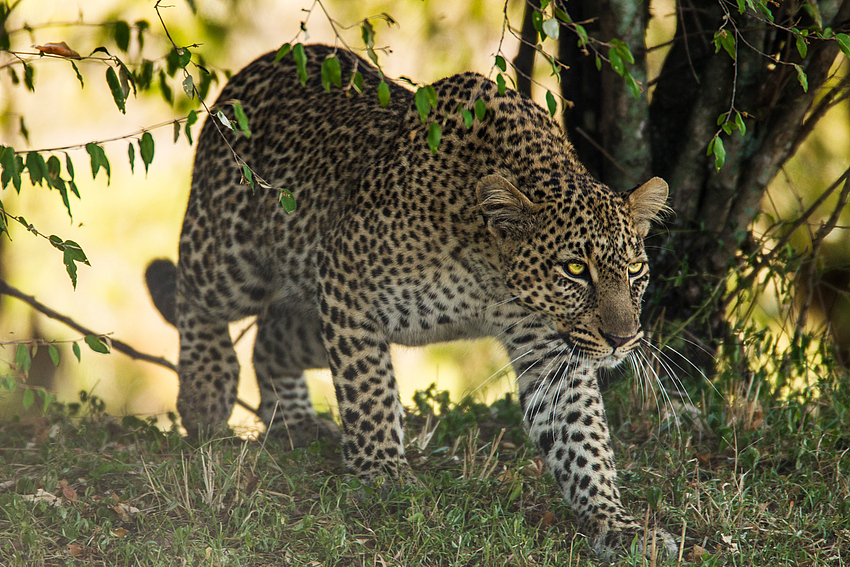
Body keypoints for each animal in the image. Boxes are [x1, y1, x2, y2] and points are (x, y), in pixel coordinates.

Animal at [147, 43, 676, 560]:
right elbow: (370, 389)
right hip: (235, 257)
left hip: (314, 310)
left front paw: (619, 525)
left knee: (272, 337)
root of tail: (257, 66)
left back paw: (296, 423)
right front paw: (383, 474)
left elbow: (581, 437)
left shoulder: (550, 347)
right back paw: (205, 394)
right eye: (575, 270)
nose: (622, 339)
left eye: (634, 270)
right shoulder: (347, 278)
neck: (493, 273)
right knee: (193, 294)